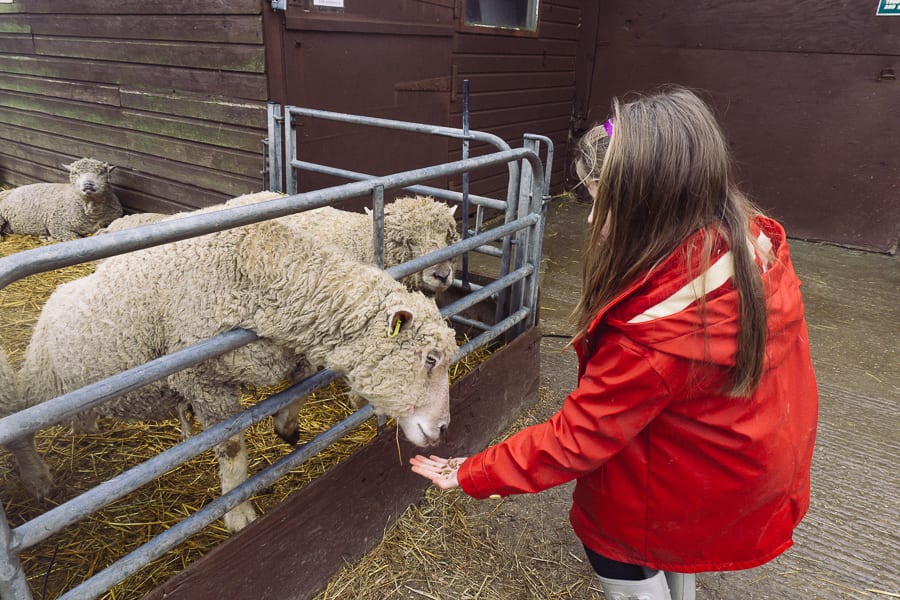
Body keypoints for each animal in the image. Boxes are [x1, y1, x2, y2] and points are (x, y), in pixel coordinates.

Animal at [12, 205, 464, 528]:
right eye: (429, 359)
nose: (444, 429)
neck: (255, 266)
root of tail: (53, 301)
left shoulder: (290, 349)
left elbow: (301, 383)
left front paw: (286, 425)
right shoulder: (203, 382)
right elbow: (232, 451)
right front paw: (238, 513)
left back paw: (83, 429)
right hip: (46, 385)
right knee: (19, 425)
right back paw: (37, 480)